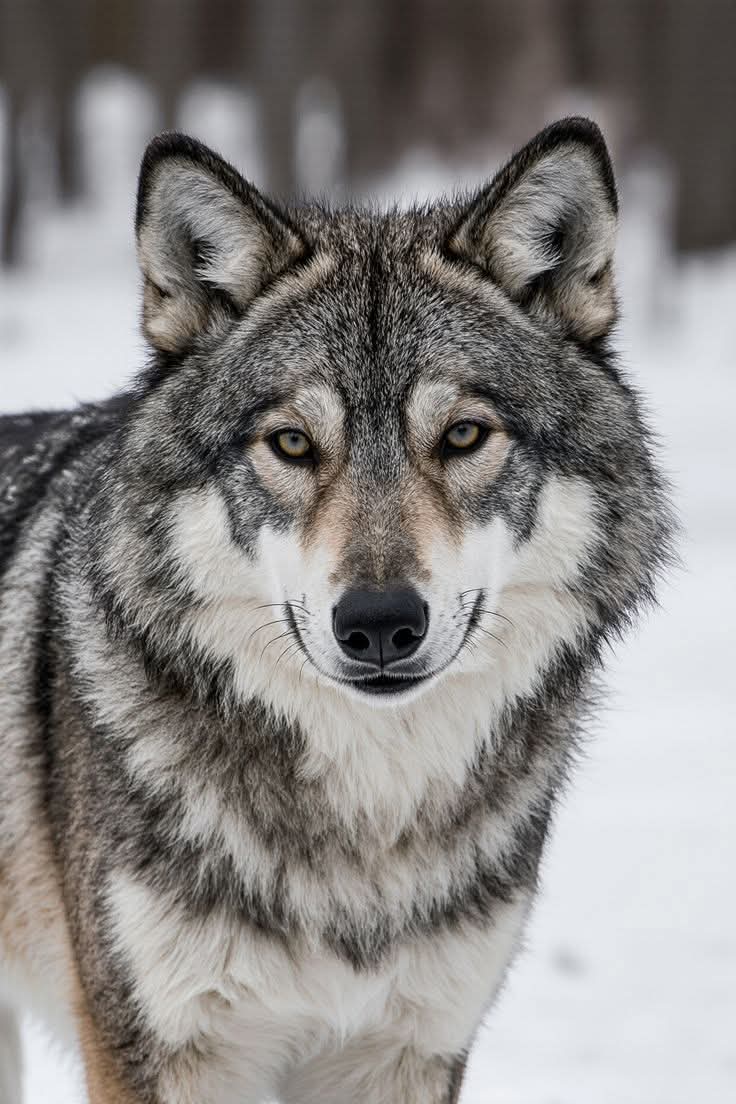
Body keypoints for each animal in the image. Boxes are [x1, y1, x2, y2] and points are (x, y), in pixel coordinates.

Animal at [0, 118, 673, 1102]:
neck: (363, 825)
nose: (381, 623)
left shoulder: (404, 1053)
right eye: (291, 443)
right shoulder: (158, 1052)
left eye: (463, 435)